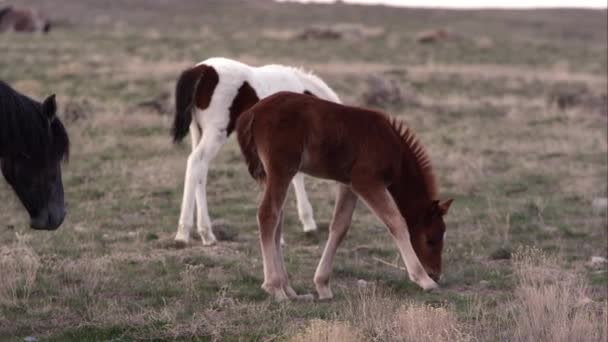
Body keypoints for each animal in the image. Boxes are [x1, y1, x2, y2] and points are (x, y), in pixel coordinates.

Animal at [172, 58, 342, 246]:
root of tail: (202, 69)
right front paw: (301, 226)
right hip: (216, 132)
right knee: (196, 162)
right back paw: (183, 233)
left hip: (197, 131)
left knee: (200, 170)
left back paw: (206, 234)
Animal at [236, 92, 452, 300]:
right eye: (431, 240)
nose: (435, 274)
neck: (393, 148)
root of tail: (251, 113)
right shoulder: (366, 182)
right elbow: (396, 222)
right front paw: (424, 280)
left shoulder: (348, 185)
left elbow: (340, 227)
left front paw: (323, 285)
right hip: (282, 169)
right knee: (268, 214)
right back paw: (275, 287)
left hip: (271, 174)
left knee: (278, 218)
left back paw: (289, 290)